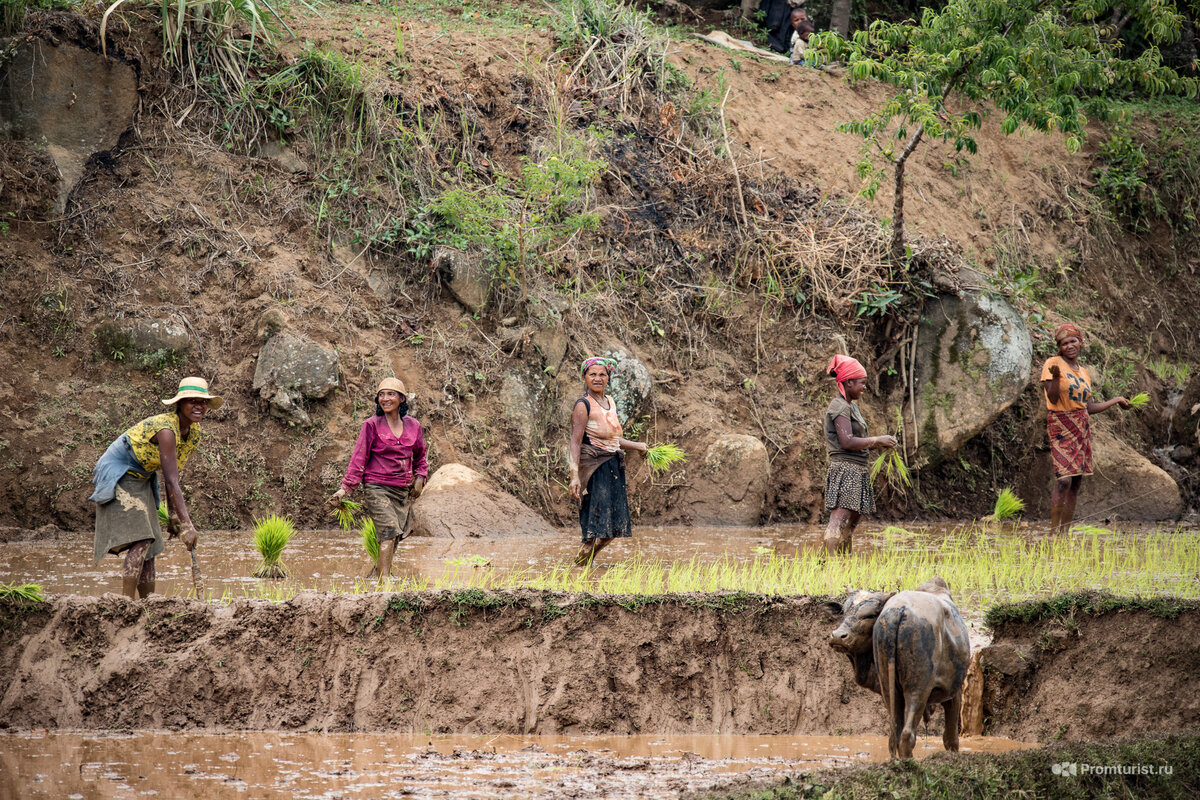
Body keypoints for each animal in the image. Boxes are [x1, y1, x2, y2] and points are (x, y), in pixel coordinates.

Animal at [820, 578, 969, 762]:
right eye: (843, 612)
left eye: (869, 615)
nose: (837, 636)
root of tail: (897, 611)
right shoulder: (954, 692)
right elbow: (951, 739)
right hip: (918, 689)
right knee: (907, 735)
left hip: (890, 687)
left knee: (894, 735)